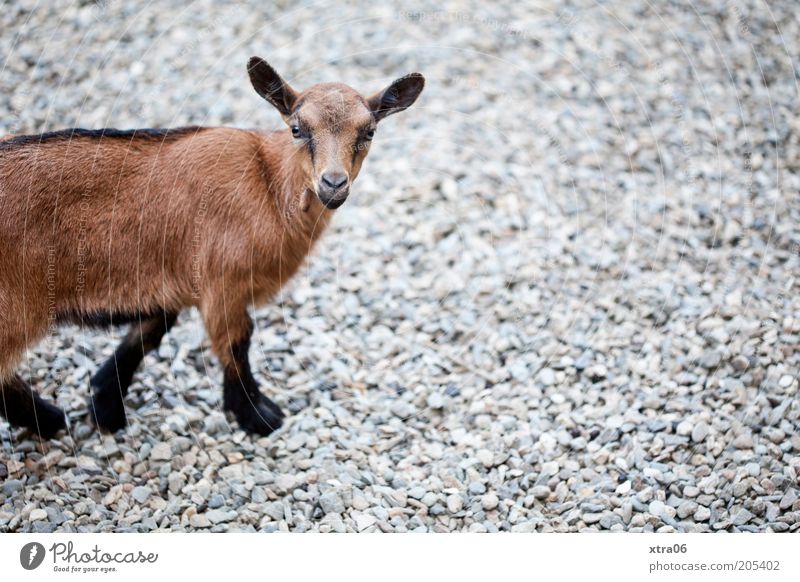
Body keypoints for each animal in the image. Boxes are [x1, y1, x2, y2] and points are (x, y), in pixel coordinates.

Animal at [0, 59, 424, 440]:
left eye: (369, 131)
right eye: (297, 129)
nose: (333, 184)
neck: (268, 184)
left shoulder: (174, 280)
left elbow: (150, 332)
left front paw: (106, 407)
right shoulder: (223, 282)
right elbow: (236, 342)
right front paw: (259, 417)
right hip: (17, 306)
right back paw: (47, 418)